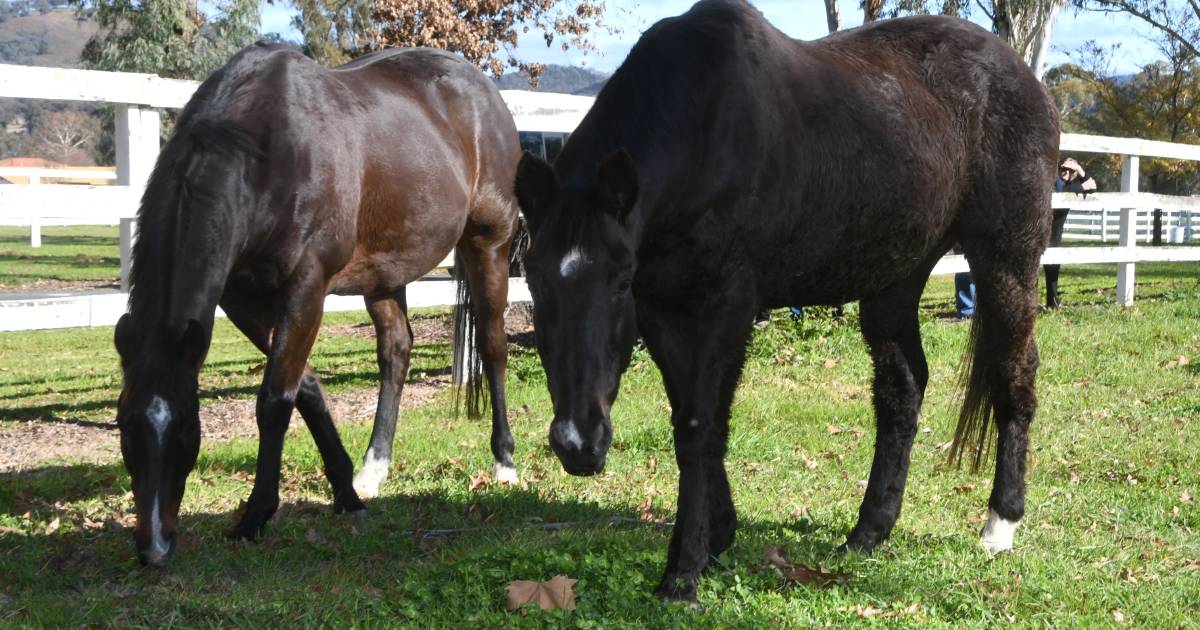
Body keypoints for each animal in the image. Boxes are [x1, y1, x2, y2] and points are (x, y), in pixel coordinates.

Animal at [112, 44, 520, 564]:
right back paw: (374, 468)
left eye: (187, 426)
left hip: (488, 245)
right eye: (125, 425)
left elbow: (274, 399)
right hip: (384, 273)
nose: (154, 547)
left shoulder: (305, 288)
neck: (264, 151)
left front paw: (255, 515)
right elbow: (303, 386)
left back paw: (504, 461)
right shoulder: (241, 298)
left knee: (492, 345)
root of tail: (482, 88)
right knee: (396, 352)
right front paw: (345, 490)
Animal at [516, 0, 1060, 600]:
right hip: (895, 279)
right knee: (902, 392)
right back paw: (868, 532)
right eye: (534, 280)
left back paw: (999, 524)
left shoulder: (727, 305)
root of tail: (1025, 80)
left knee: (1014, 374)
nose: (577, 443)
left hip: (1006, 260)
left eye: (617, 281)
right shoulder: (661, 311)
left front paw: (683, 572)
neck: (705, 129)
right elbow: (693, 420)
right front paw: (716, 535)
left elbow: (699, 427)